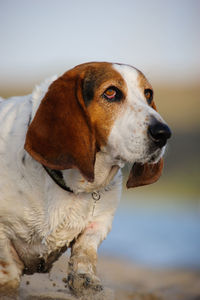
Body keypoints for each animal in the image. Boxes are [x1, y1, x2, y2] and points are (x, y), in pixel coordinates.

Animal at [0, 62, 172, 296]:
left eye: (148, 94)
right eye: (111, 92)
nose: (164, 133)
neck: (72, 187)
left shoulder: (100, 222)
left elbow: (86, 249)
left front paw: (84, 280)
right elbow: (8, 269)